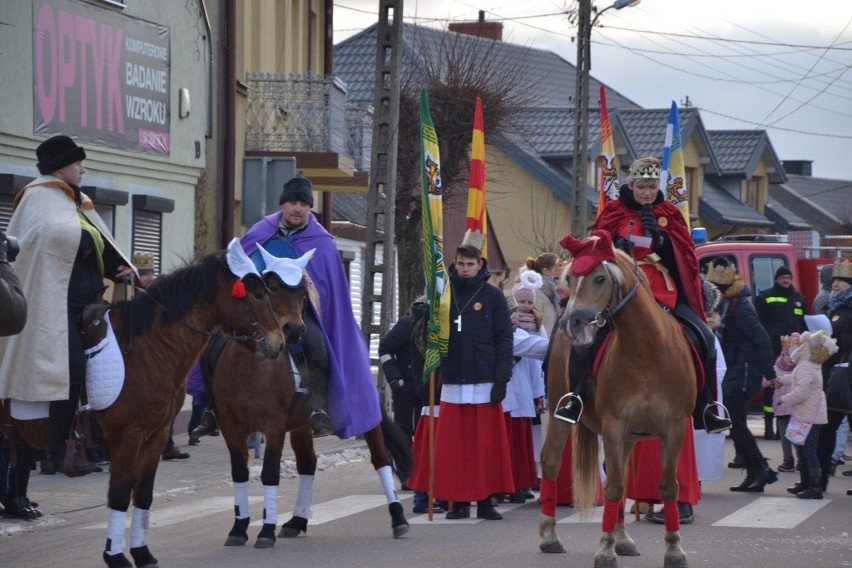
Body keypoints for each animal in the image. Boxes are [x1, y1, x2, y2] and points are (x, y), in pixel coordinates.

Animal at [540, 231, 700, 568]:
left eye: (600, 278)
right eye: (569, 278)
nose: (572, 322)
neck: (646, 350)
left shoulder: (674, 427)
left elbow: (667, 487)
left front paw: (674, 549)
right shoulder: (614, 427)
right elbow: (612, 488)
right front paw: (605, 549)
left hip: (630, 438)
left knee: (625, 477)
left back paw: (624, 538)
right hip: (563, 411)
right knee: (550, 462)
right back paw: (550, 536)